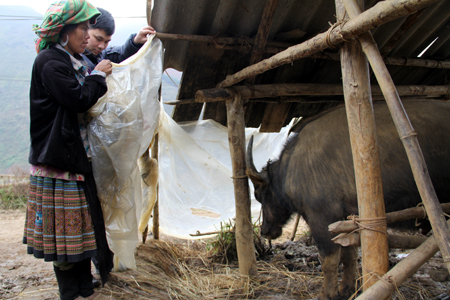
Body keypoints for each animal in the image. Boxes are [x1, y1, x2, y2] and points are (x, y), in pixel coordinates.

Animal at [246, 100, 450, 300]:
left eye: (259, 194)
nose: (265, 230)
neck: (290, 167)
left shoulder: (321, 218)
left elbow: (329, 258)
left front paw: (326, 294)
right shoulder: (346, 219)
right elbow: (349, 255)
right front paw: (346, 289)